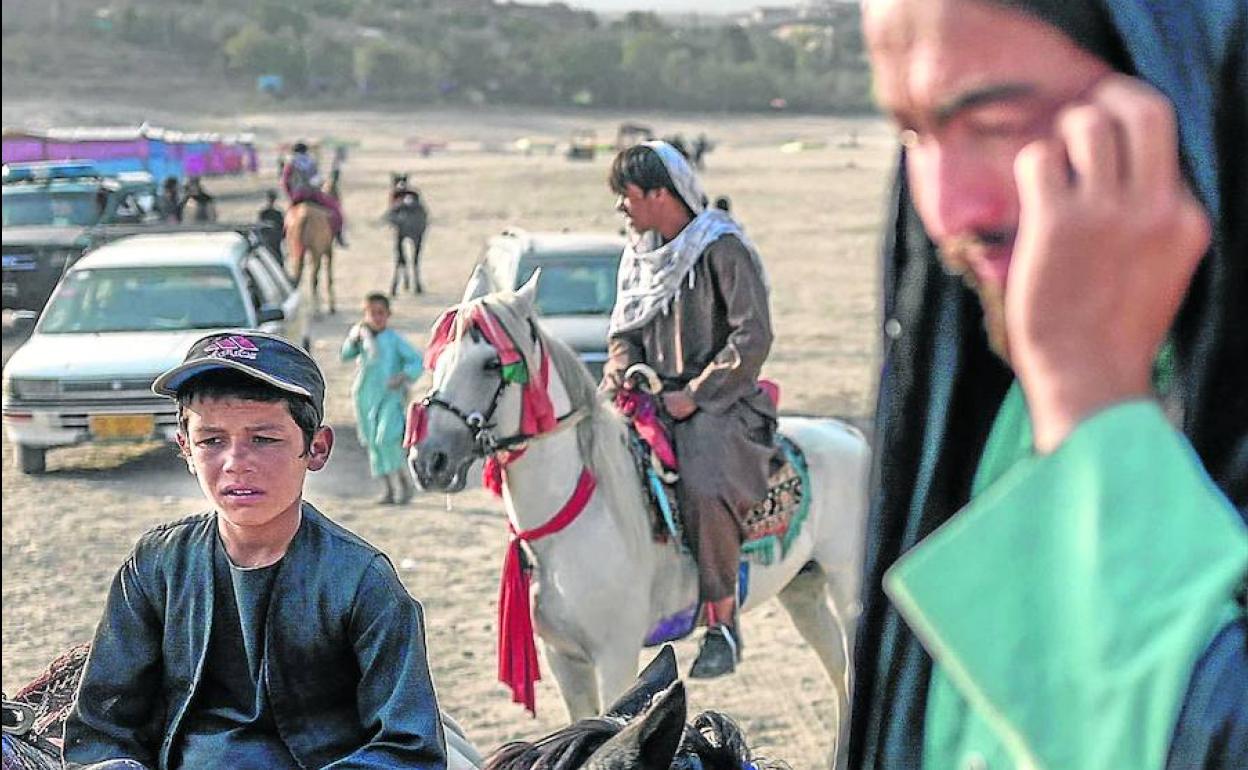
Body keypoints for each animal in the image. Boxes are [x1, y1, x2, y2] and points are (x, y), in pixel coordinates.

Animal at [409, 279, 868, 763]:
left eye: (492, 363)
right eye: (438, 361)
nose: (429, 460)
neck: (573, 524)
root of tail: (848, 434)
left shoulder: (616, 655)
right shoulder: (563, 659)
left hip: (847, 589)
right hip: (803, 590)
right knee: (838, 671)